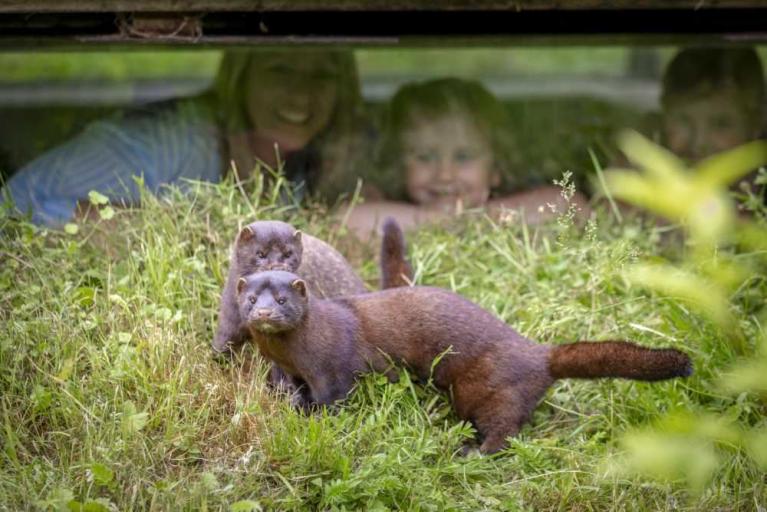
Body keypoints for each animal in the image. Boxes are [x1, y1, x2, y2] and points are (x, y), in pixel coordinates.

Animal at [237, 270, 692, 454]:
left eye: (283, 299)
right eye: (250, 297)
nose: (264, 312)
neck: (295, 355)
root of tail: (536, 353)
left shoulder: (333, 369)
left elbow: (334, 399)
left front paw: (318, 419)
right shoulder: (292, 371)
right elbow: (294, 391)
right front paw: (294, 405)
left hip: (489, 390)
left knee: (504, 430)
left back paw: (472, 451)